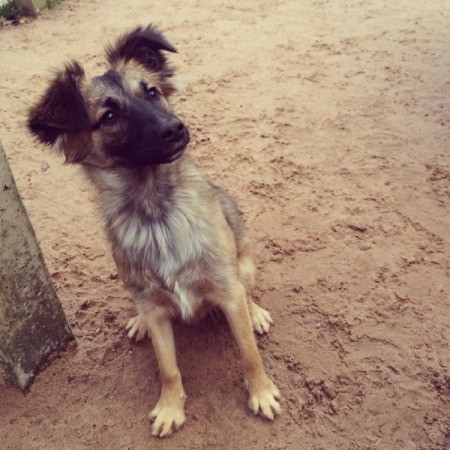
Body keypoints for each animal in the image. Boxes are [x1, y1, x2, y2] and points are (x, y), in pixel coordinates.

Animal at [28, 23, 280, 436]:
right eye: (109, 115)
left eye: (152, 92)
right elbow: (168, 368)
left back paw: (256, 311)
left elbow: (247, 352)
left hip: (243, 265)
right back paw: (138, 322)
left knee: (248, 290)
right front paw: (169, 407)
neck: (156, 214)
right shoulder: (157, 308)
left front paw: (261, 391)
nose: (175, 129)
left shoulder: (227, 292)